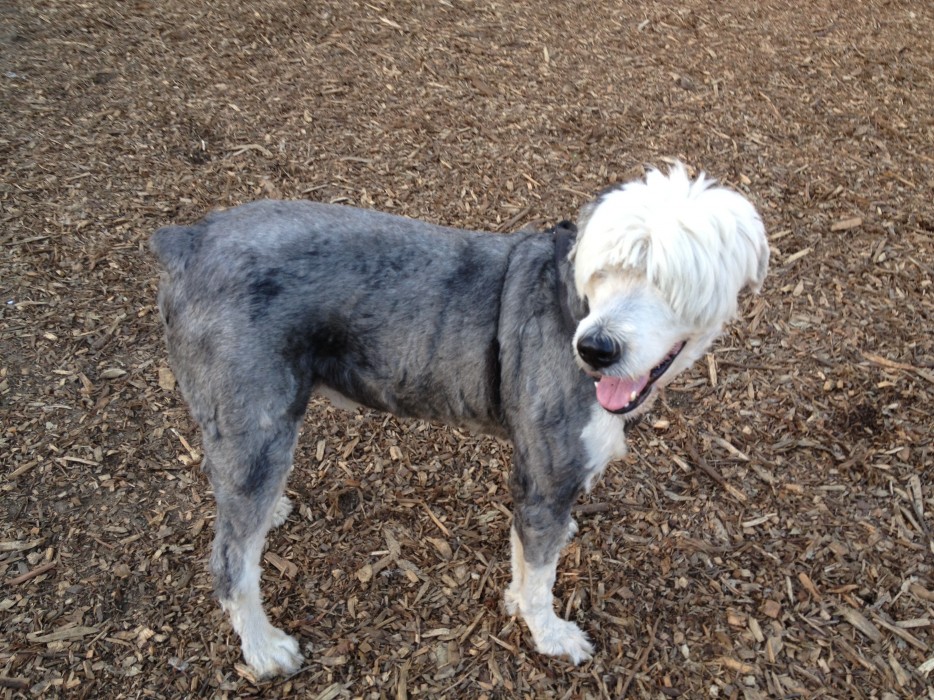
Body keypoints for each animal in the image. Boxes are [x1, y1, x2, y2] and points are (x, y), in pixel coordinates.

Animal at [152, 164, 768, 680]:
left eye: (669, 282)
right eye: (605, 270)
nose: (596, 349)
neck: (571, 306)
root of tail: (189, 241)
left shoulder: (536, 480)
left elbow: (526, 553)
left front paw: (520, 597)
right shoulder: (547, 478)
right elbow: (541, 575)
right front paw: (549, 635)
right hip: (256, 428)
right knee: (230, 560)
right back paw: (263, 649)